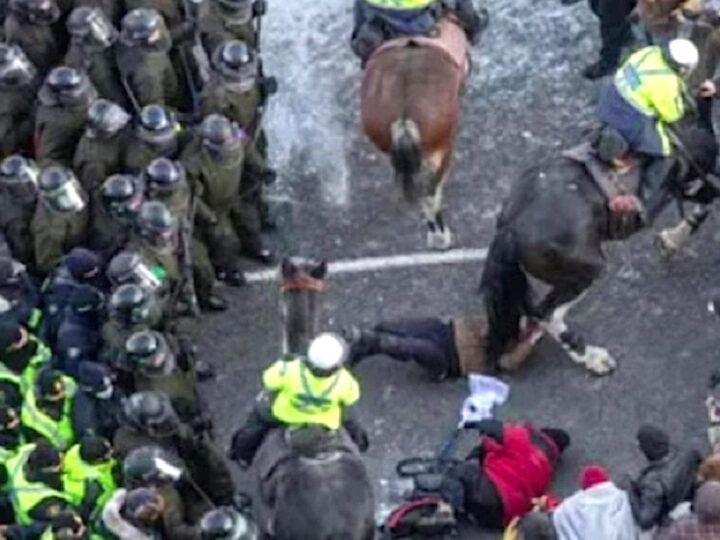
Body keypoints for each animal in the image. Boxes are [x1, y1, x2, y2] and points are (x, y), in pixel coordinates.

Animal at [478, 128, 720, 376]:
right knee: (547, 314)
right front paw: (675, 238)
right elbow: (710, 198)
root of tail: (509, 229)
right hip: (586, 271)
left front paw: (671, 240)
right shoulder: (692, 179)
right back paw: (593, 358)